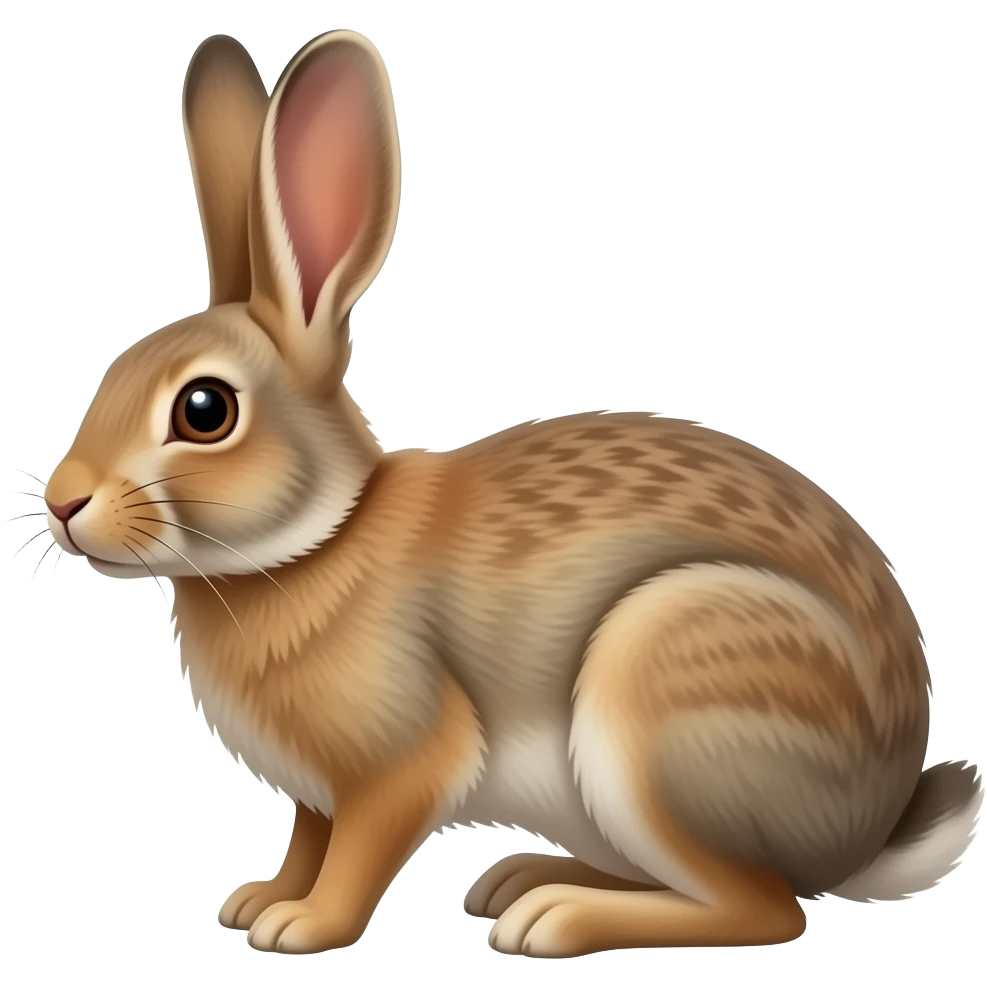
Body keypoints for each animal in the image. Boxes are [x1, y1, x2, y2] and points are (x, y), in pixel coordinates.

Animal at [36, 28, 982, 958]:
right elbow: (309, 837)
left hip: (664, 699)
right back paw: (521, 879)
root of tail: (866, 829)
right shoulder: (315, 792)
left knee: (763, 908)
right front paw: (260, 898)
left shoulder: (401, 761)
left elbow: (358, 851)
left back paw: (554, 917)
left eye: (205, 410)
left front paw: (301, 925)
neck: (317, 539)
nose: (63, 503)